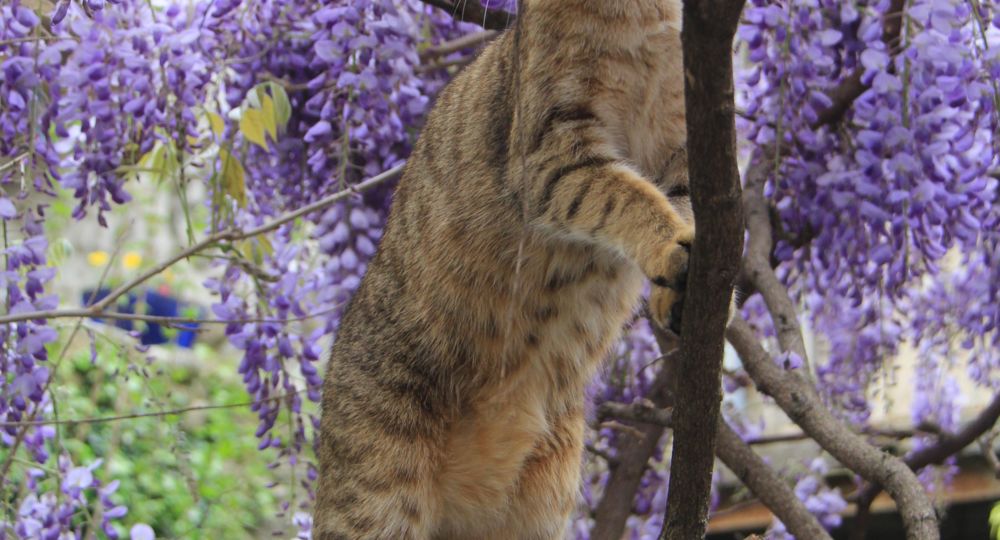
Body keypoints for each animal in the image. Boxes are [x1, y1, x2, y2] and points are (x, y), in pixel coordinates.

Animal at [313, 1, 693, 538]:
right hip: (379, 499)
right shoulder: (552, 154)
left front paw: (673, 284)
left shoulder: (682, 147)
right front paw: (666, 246)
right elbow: (628, 195)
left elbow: (678, 205)